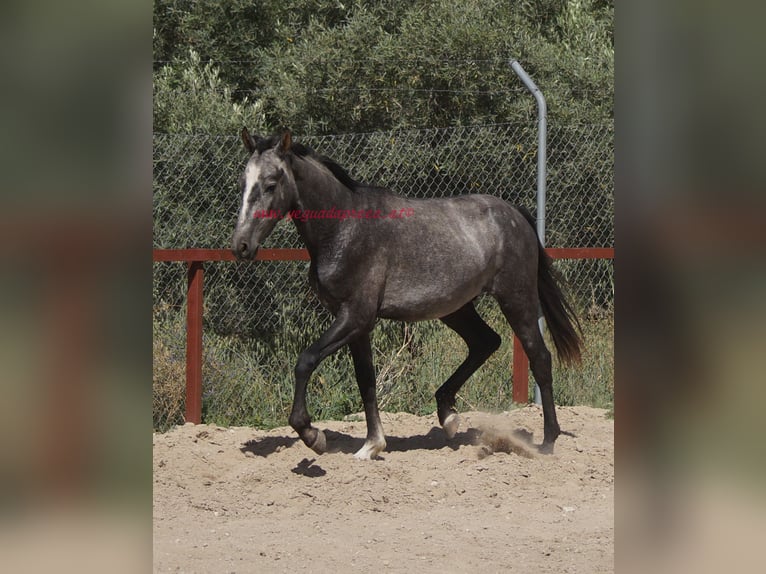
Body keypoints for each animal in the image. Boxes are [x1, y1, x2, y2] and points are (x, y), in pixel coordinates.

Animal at [232, 129, 584, 460]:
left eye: (271, 183)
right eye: (243, 182)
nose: (241, 246)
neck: (345, 228)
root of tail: (515, 214)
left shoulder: (355, 317)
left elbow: (305, 361)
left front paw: (312, 435)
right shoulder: (355, 324)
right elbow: (366, 380)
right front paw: (371, 446)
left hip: (516, 299)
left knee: (539, 358)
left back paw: (547, 441)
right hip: (456, 308)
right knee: (485, 342)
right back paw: (448, 416)